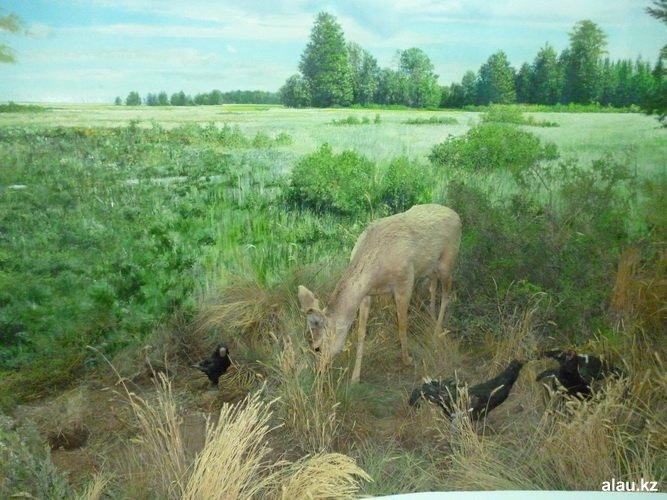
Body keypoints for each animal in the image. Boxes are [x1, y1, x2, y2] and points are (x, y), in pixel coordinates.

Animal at [298, 203, 460, 382]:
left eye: (317, 348)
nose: (319, 370)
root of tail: (456, 215)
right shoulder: (366, 295)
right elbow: (361, 333)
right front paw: (355, 377)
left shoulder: (405, 281)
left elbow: (402, 324)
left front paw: (407, 359)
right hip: (431, 267)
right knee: (433, 284)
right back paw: (431, 316)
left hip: (448, 261)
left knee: (446, 294)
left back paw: (437, 331)